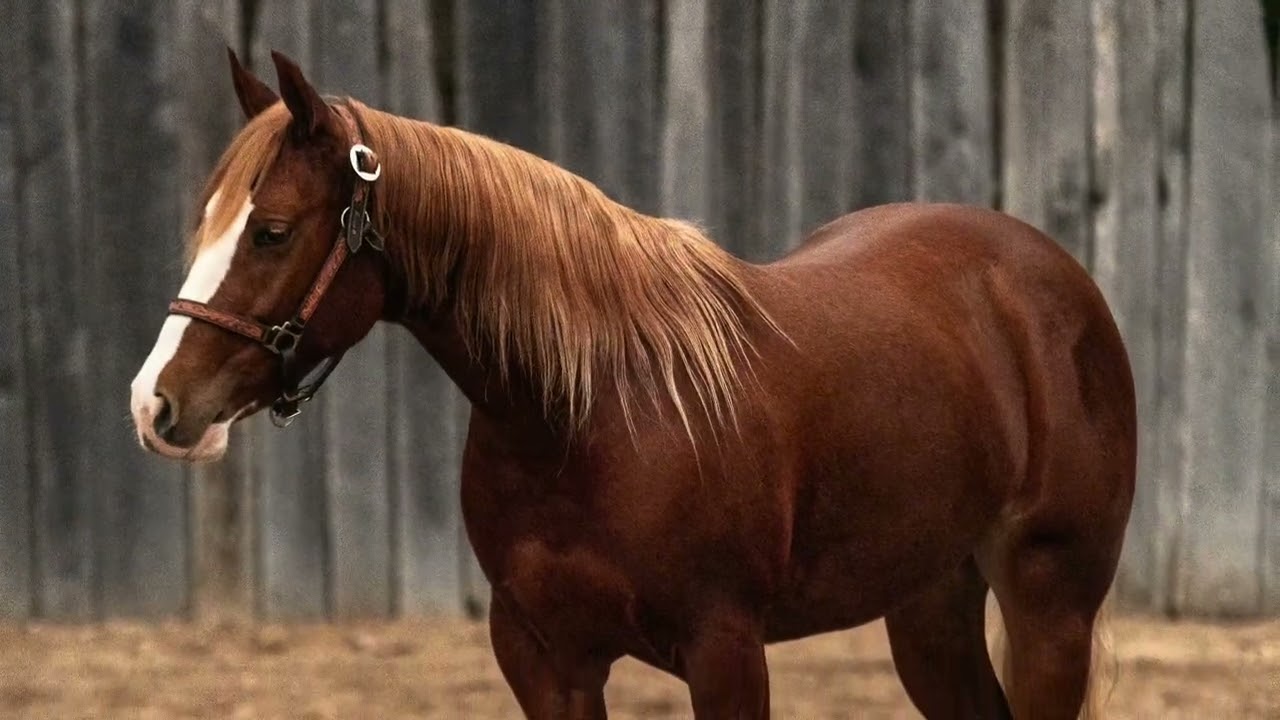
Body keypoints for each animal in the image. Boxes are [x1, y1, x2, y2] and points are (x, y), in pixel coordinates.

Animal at [129, 48, 1135, 719]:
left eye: (272, 231)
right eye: (206, 221)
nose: (157, 405)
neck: (593, 416)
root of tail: (1046, 274)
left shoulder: (724, 651)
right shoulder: (546, 659)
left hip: (1049, 604)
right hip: (929, 607)